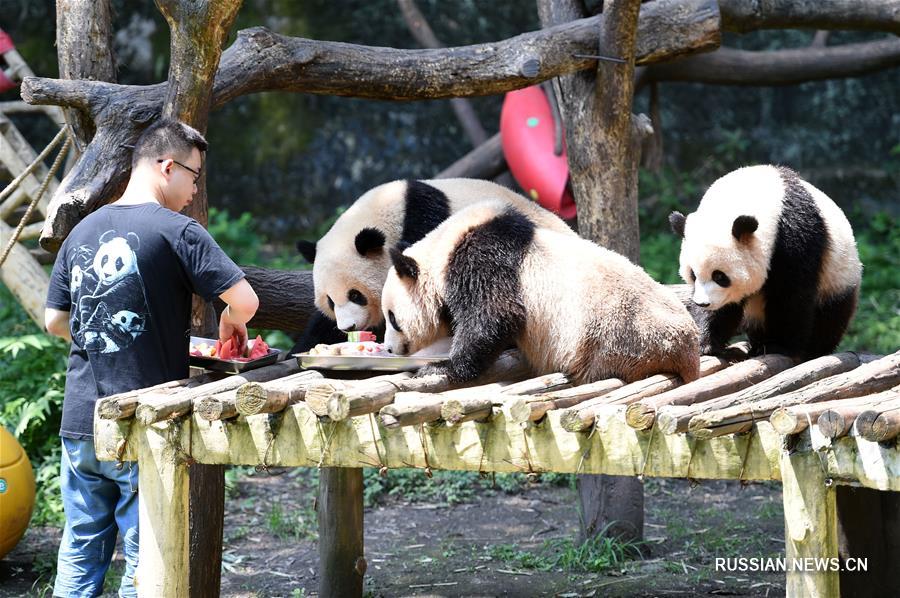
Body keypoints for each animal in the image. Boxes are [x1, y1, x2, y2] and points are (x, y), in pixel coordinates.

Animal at [382, 199, 704, 386]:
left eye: (392, 318)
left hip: (617, 340)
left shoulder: (481, 260)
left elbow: (495, 315)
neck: (444, 247)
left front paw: (440, 367)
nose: (389, 349)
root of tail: (687, 351)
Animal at [672, 164, 860, 360]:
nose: (703, 303)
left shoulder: (796, 237)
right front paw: (707, 343)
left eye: (720, 276)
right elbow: (725, 307)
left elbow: (791, 294)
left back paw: (812, 349)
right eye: (693, 275)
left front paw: (779, 346)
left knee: (831, 315)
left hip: (837, 276)